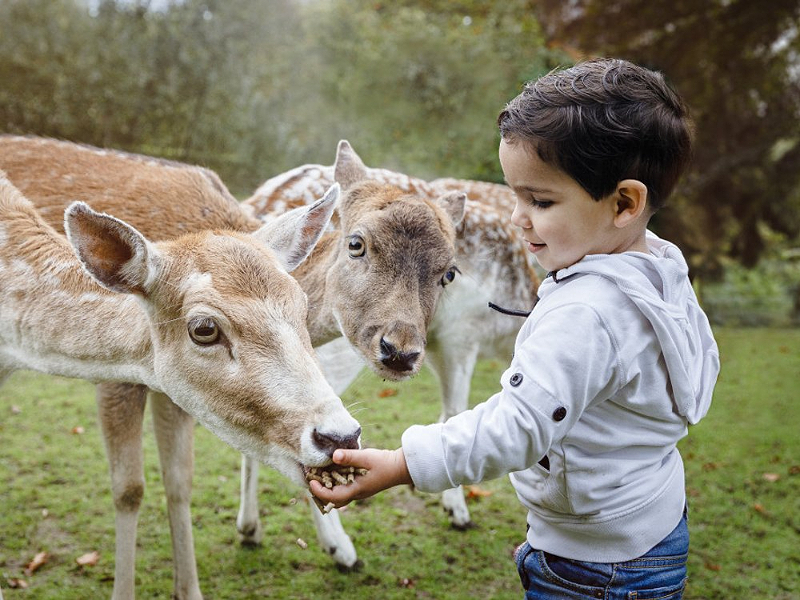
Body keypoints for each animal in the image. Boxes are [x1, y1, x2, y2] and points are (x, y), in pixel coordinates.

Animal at [0, 135, 466, 592]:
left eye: (449, 272)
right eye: (356, 244)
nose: (400, 351)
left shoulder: (169, 388)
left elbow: (179, 482)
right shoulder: (118, 380)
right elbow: (129, 489)